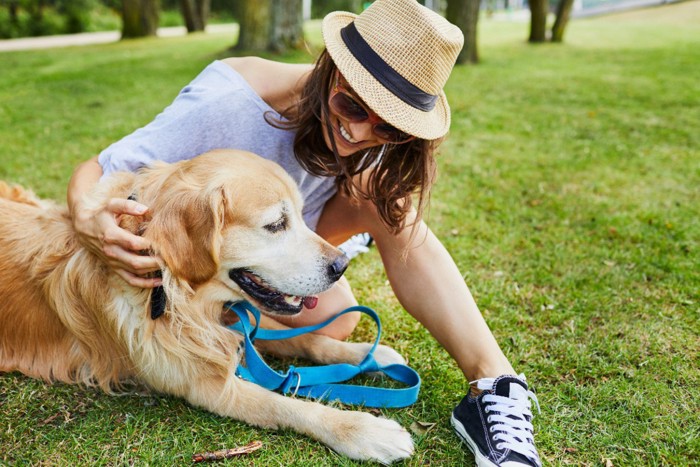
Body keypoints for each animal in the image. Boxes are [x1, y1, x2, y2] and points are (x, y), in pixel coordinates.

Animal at [0, 151, 412, 464]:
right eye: (276, 224)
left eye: (299, 213)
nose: (341, 265)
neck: (171, 287)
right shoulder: (207, 387)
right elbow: (288, 405)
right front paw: (366, 431)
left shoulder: (230, 324)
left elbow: (307, 339)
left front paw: (368, 355)